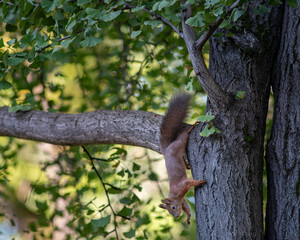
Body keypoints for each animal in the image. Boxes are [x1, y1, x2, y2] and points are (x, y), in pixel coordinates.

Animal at [159, 92, 206, 225]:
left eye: (173, 207)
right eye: (169, 212)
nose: (175, 216)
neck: (175, 195)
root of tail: (167, 149)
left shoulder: (183, 184)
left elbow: (191, 182)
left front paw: (199, 182)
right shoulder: (182, 199)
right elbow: (186, 207)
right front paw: (189, 217)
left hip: (179, 144)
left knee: (183, 135)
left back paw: (191, 128)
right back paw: (186, 164)